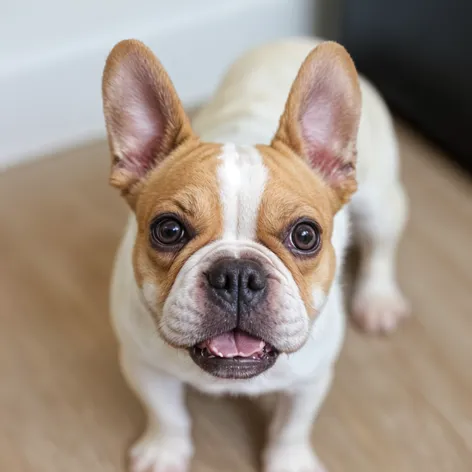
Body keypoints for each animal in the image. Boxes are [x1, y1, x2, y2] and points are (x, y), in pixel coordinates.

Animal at [102, 37, 410, 472]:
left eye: (305, 235)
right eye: (168, 230)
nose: (236, 275)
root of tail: (298, 41)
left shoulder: (310, 381)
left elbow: (292, 428)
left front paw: (290, 462)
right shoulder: (144, 367)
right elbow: (167, 414)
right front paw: (165, 451)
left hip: (380, 203)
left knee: (382, 247)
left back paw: (378, 300)